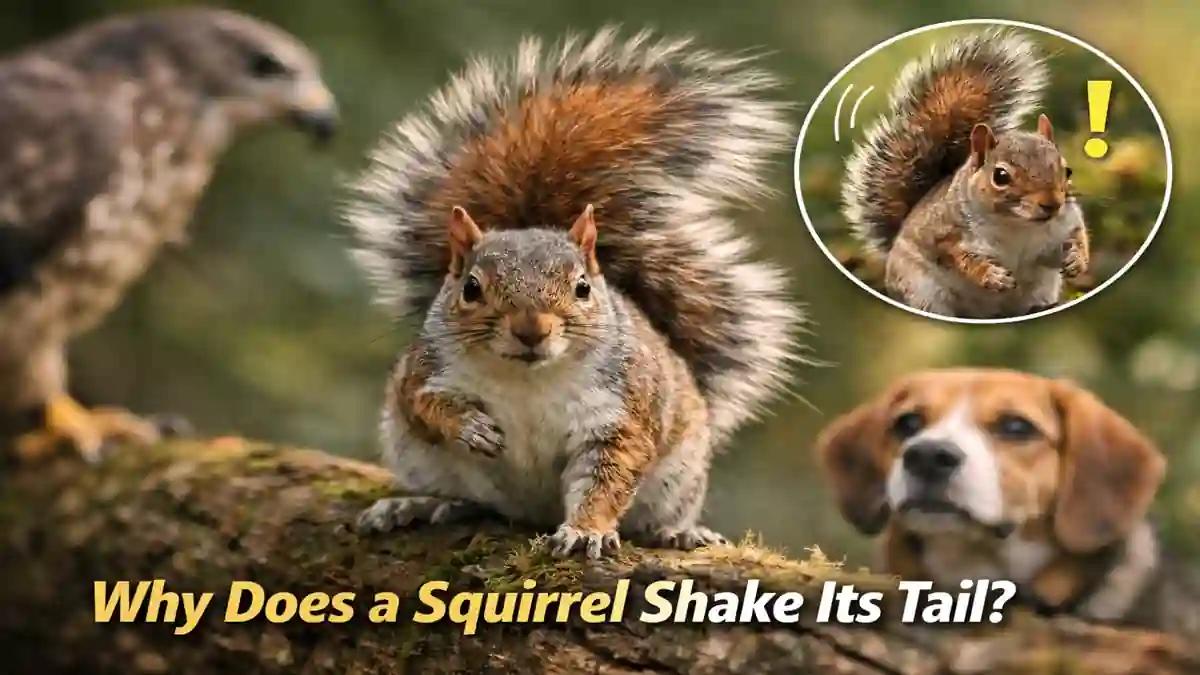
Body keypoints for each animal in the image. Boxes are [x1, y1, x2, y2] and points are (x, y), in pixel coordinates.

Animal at [340, 27, 804, 559]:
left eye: (582, 287)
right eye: (472, 288)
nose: (531, 331)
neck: (528, 382)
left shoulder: (620, 417)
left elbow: (607, 479)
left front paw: (586, 531)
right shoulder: (424, 371)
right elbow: (422, 403)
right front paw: (469, 426)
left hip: (679, 474)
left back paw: (679, 531)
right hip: (421, 458)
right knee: (465, 499)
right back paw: (416, 504)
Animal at [841, 29, 1090, 319]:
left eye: (1067, 170)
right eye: (1001, 176)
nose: (1052, 204)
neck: (1019, 226)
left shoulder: (1065, 223)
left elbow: (1078, 236)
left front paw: (1076, 260)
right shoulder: (943, 232)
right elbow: (959, 258)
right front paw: (991, 275)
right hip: (921, 289)